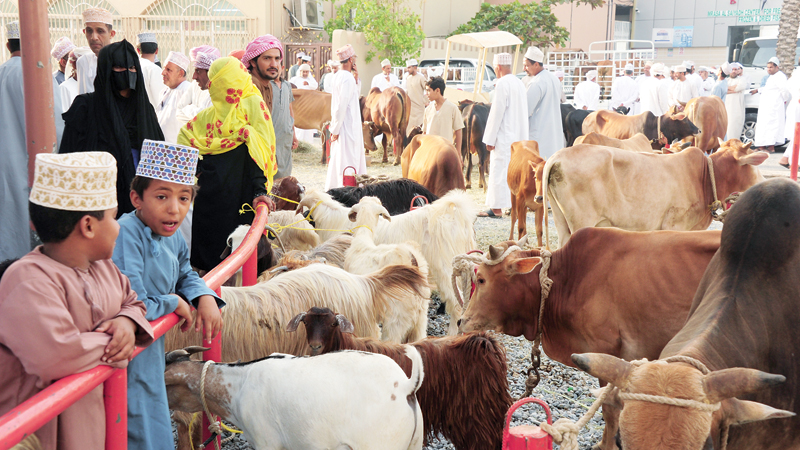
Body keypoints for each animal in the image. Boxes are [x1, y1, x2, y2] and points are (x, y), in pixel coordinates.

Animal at [456, 229, 724, 450]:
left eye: (481, 279)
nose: (461, 321)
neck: (568, 280)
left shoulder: (607, 353)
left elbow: (609, 409)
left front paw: (606, 445)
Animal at [548, 140, 764, 246]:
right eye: (754, 165)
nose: (763, 182)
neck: (704, 177)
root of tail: (558, 156)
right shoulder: (675, 225)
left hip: (562, 223)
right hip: (582, 222)